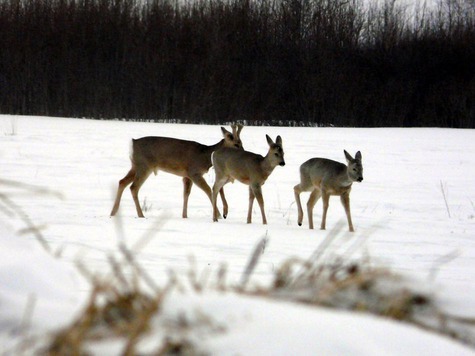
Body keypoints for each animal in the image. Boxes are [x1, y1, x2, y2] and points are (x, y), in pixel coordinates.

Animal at [110, 125, 245, 220]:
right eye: (236, 144)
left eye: (242, 143)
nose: (244, 153)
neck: (205, 157)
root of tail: (133, 143)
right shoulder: (194, 172)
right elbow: (208, 190)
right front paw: (219, 215)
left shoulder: (186, 176)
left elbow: (186, 194)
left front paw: (184, 216)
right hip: (144, 166)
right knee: (133, 187)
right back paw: (141, 215)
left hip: (135, 166)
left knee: (122, 182)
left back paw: (113, 212)